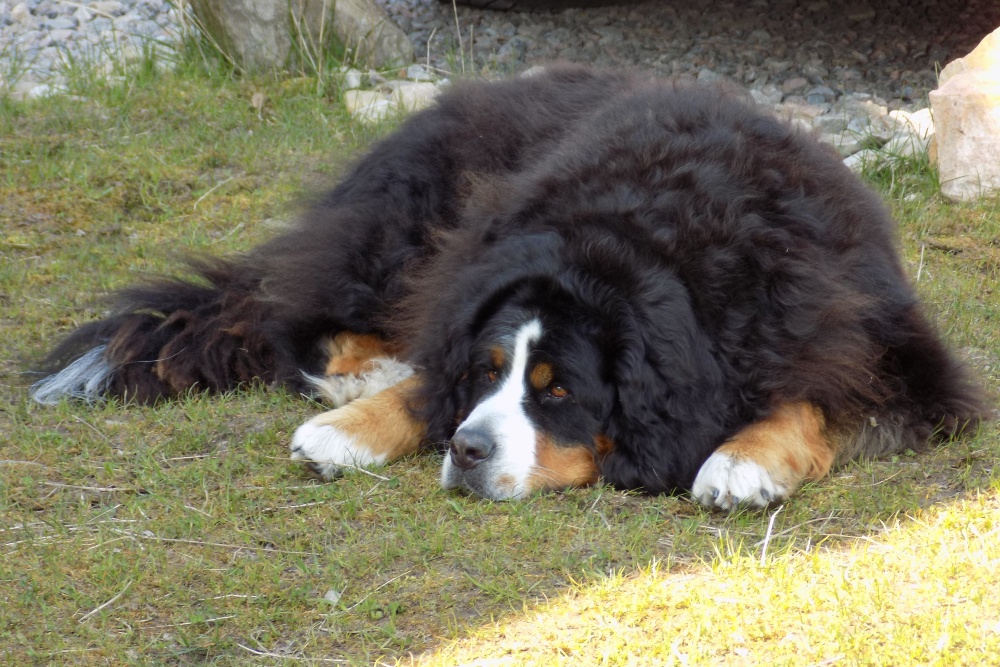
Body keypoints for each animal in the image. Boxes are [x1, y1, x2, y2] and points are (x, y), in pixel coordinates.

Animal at [29, 65, 984, 508]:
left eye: (558, 391)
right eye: (492, 372)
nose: (470, 448)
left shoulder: (886, 345)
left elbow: (820, 396)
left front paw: (740, 460)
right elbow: (432, 370)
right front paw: (354, 427)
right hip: (402, 228)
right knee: (297, 312)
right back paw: (365, 372)